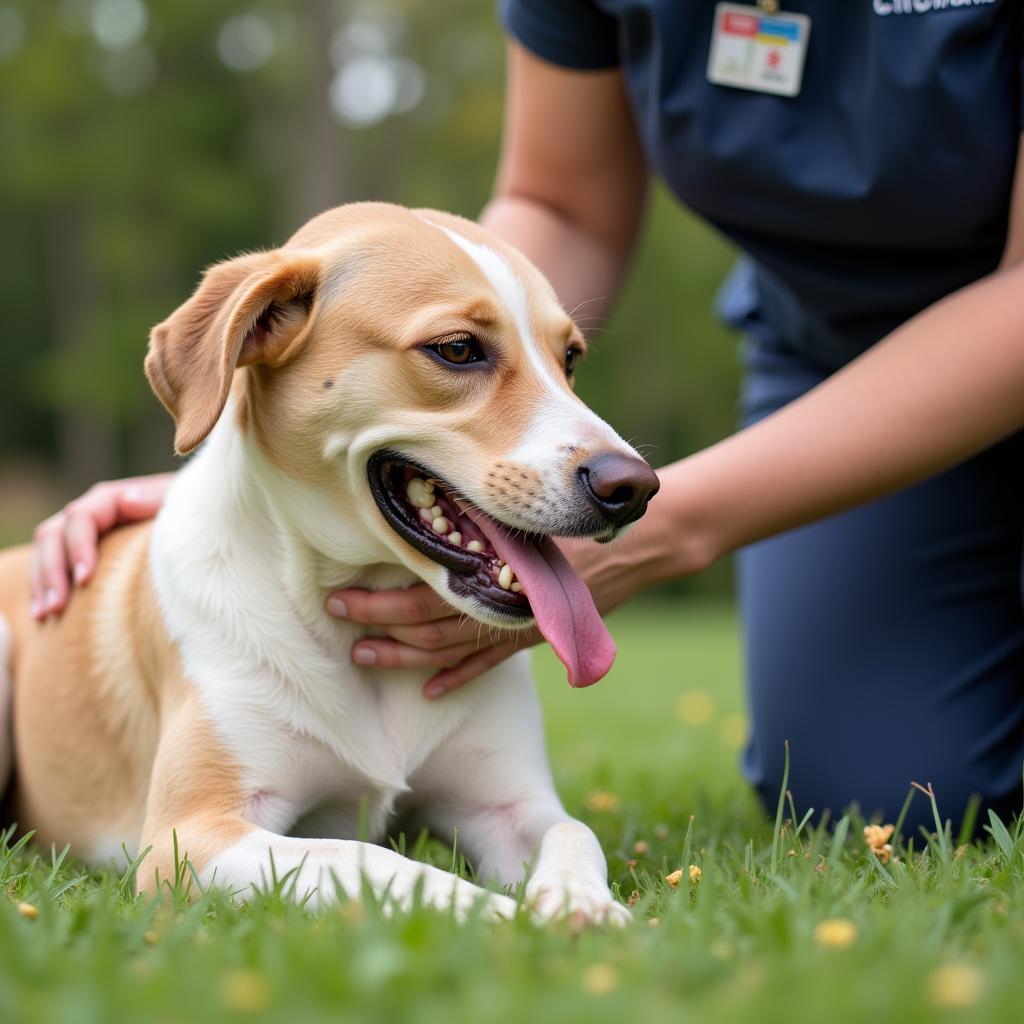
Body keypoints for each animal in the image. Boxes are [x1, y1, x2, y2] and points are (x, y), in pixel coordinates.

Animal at [0, 201, 655, 921]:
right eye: (458, 349)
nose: (634, 488)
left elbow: (574, 832)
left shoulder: (507, 806)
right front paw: (503, 919)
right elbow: (374, 860)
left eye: (570, 358)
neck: (345, 632)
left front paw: (577, 905)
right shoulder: (190, 837)